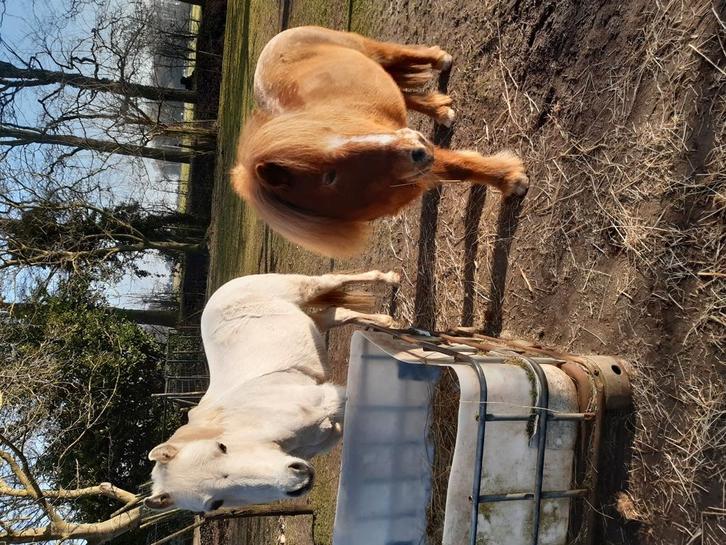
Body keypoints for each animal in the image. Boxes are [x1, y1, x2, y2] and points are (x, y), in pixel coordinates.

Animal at [144, 270, 399, 512]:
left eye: (221, 447)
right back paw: (386, 322)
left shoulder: (330, 401)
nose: (298, 481)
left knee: (335, 281)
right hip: (315, 322)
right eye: (215, 504)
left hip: (305, 288)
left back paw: (391, 281)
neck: (257, 420)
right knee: (338, 313)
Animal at [231, 26, 528, 258]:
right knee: (406, 95)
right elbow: (456, 170)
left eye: (329, 127)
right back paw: (441, 112)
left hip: (368, 48)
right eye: (329, 177)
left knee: (398, 54)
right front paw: (511, 179)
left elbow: (461, 166)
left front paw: (511, 180)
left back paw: (441, 60)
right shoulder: (417, 172)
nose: (415, 148)